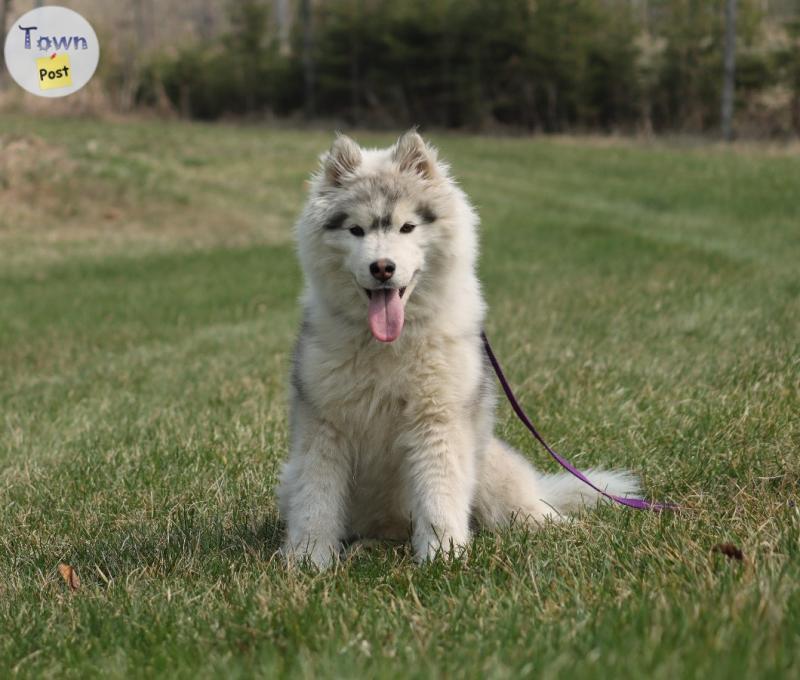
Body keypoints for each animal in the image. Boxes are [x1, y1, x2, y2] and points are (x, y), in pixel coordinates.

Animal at [278, 130, 640, 564]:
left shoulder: (439, 420)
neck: (388, 346)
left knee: (529, 509)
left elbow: (439, 494)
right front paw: (308, 558)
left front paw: (442, 555)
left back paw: (565, 529)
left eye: (407, 227)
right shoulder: (324, 426)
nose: (382, 268)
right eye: (356, 230)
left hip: (492, 470)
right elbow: (316, 499)